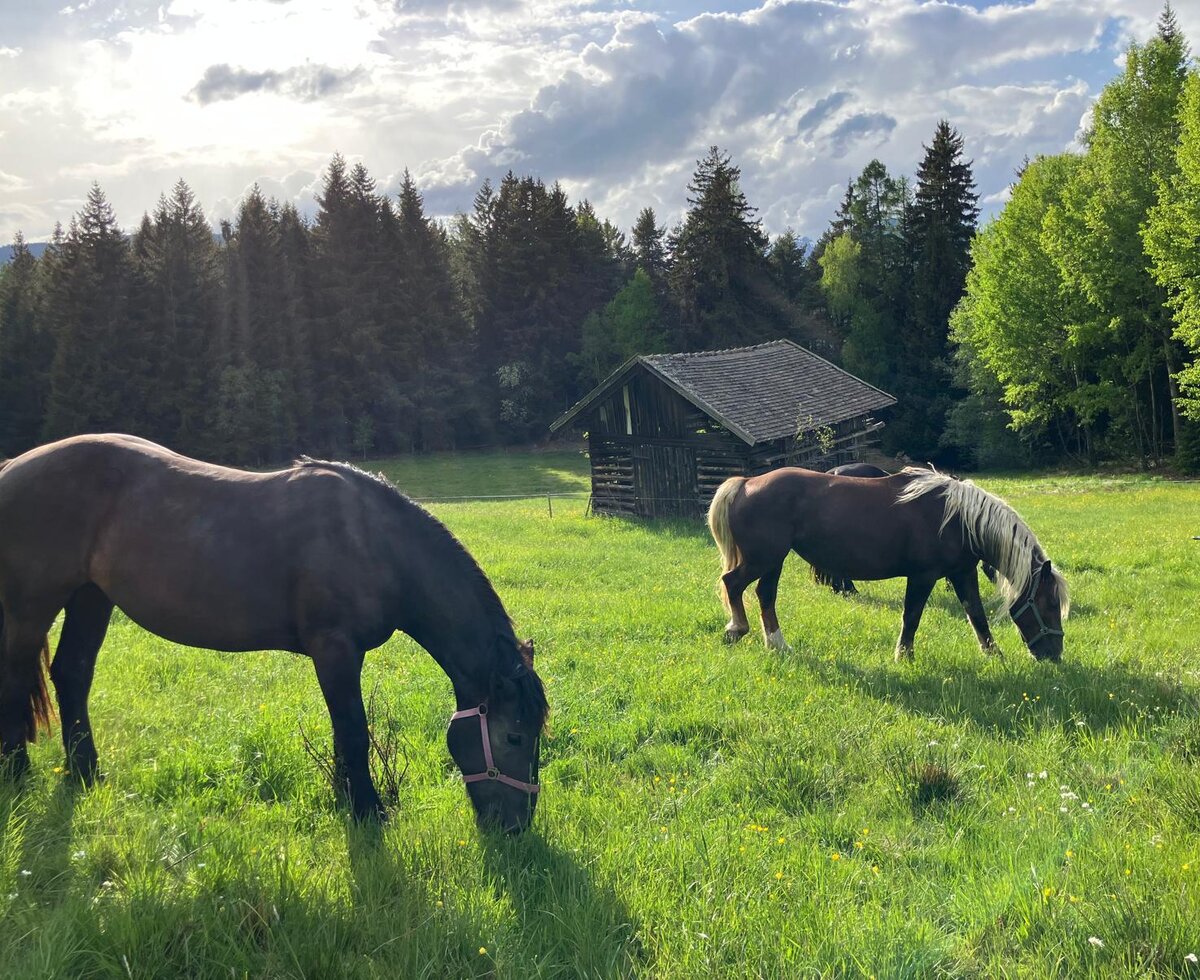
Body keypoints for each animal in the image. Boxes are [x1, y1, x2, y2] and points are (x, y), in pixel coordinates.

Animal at [0, 434, 548, 832]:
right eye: (515, 736)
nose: (515, 827)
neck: (373, 542)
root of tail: (11, 468)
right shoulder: (334, 649)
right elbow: (353, 728)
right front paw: (368, 811)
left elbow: (342, 730)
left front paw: (346, 799)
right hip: (33, 606)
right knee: (15, 680)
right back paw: (16, 775)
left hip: (91, 598)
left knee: (72, 674)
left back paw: (87, 775)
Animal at [707, 467, 1069, 661]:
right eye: (1049, 604)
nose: (1054, 654)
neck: (957, 518)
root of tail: (746, 483)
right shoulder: (923, 576)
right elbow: (912, 617)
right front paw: (904, 656)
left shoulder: (962, 573)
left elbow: (976, 615)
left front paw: (994, 655)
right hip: (763, 559)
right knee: (732, 583)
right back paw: (736, 629)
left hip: (773, 562)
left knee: (765, 596)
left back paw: (778, 645)